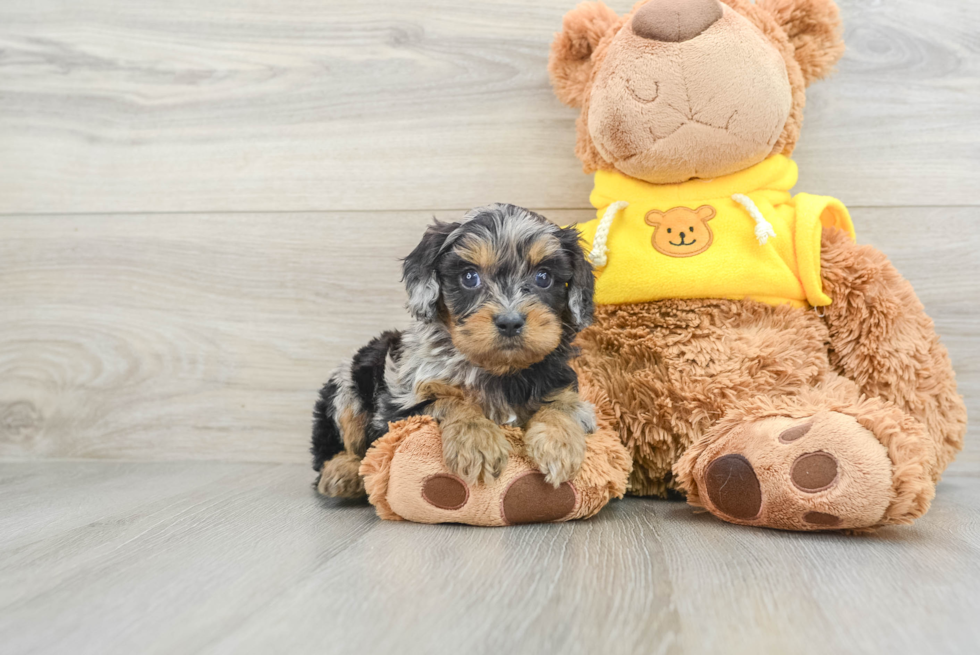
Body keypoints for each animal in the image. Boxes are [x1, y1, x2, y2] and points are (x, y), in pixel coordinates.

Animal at [312, 202, 596, 500]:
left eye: (544, 277)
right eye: (469, 277)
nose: (510, 322)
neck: (498, 370)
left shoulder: (563, 387)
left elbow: (563, 405)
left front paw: (558, 445)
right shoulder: (398, 409)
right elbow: (449, 401)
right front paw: (477, 441)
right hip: (347, 386)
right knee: (334, 449)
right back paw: (342, 471)